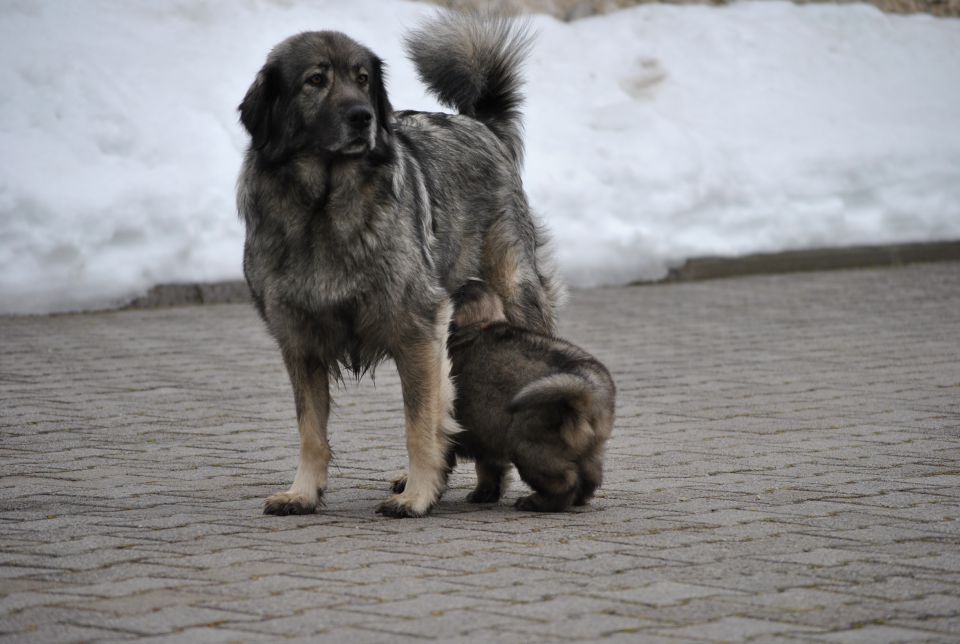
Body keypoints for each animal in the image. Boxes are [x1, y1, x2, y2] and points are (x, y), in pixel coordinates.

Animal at [235, 11, 560, 520]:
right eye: (316, 80)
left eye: (362, 80)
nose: (362, 117)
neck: (323, 210)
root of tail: (479, 124)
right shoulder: (299, 341)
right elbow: (311, 431)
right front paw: (303, 492)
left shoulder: (419, 327)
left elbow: (420, 423)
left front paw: (419, 494)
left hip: (513, 293)